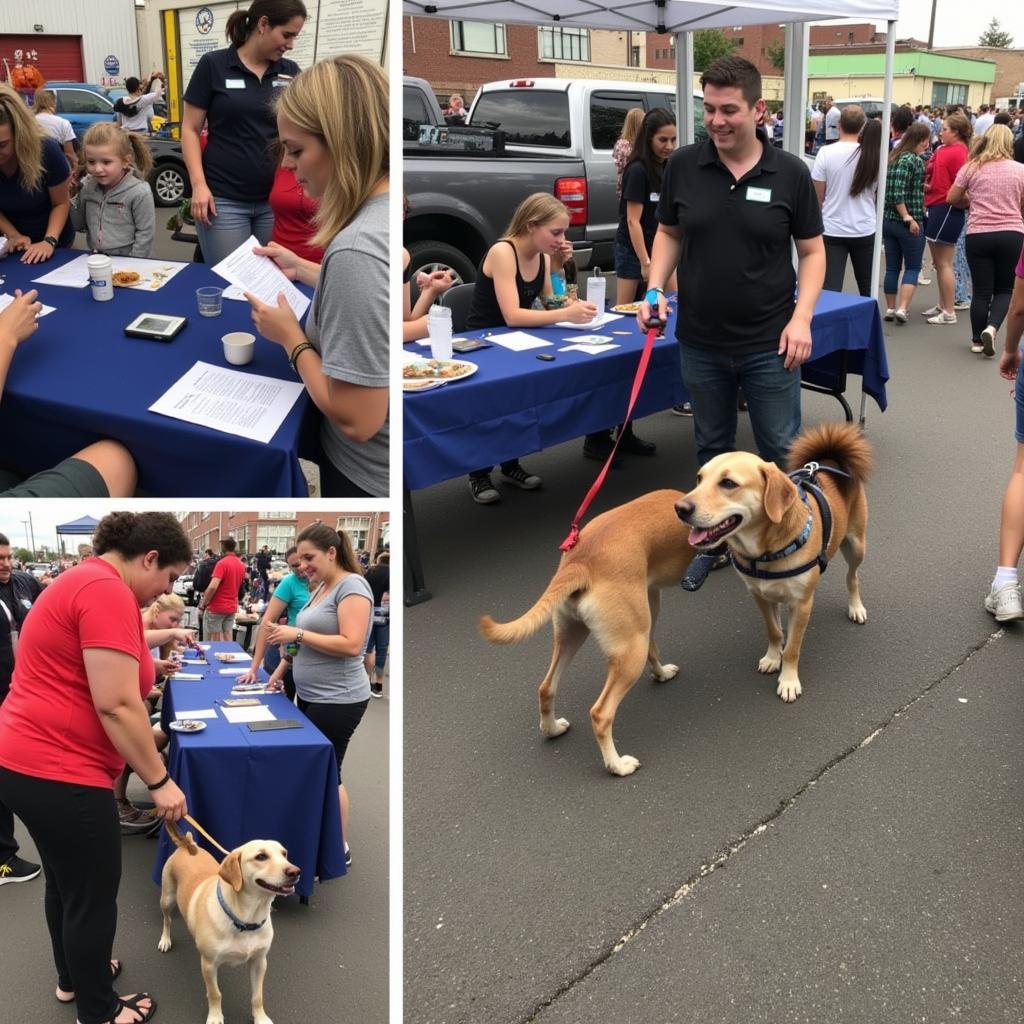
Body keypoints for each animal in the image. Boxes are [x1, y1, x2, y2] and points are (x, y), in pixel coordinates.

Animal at [156, 831, 299, 1024]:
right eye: (261, 856)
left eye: (284, 854)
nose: (295, 871)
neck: (246, 919)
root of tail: (186, 845)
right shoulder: (208, 964)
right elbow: (215, 993)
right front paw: (215, 1016)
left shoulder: (259, 962)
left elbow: (257, 996)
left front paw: (260, 1018)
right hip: (167, 899)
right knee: (167, 920)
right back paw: (165, 939)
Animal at [479, 489, 696, 774]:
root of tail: (580, 563)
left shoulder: (650, 599)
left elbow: (654, 647)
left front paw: (660, 673)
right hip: (630, 649)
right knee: (601, 714)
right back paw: (617, 765)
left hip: (578, 634)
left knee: (546, 688)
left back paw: (552, 729)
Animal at [675, 423, 868, 704]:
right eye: (699, 479)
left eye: (728, 483)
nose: (679, 508)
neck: (765, 552)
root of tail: (828, 460)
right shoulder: (760, 596)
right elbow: (775, 632)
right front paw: (773, 657)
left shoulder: (801, 604)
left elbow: (793, 648)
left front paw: (788, 680)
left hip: (856, 546)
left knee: (852, 577)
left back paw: (856, 607)